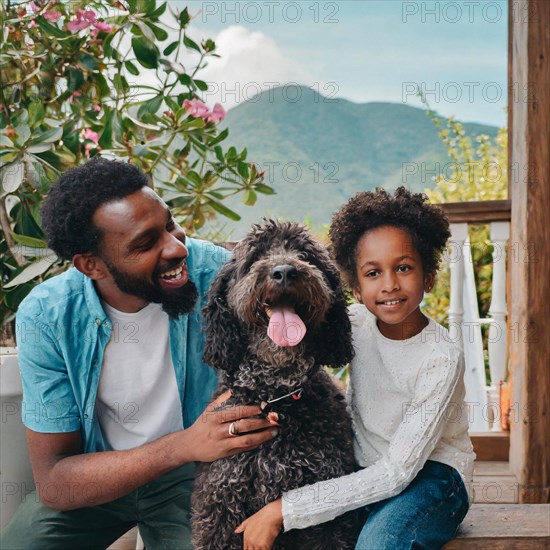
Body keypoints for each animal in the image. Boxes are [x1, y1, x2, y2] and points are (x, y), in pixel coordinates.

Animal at [192, 221, 360, 550]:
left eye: (305, 255)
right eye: (255, 256)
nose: (284, 271)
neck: (275, 397)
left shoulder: (329, 516)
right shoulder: (220, 510)